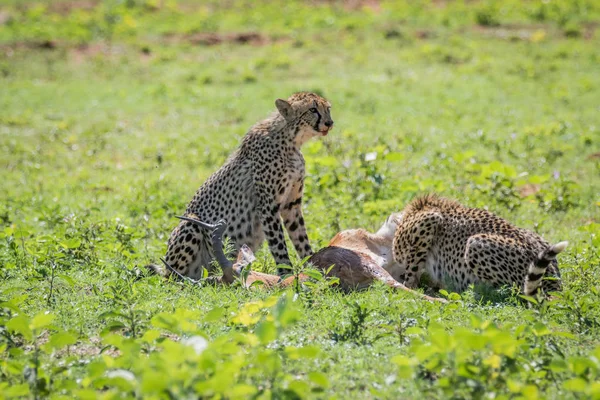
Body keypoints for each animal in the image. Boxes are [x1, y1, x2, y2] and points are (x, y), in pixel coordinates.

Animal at [156, 91, 332, 278]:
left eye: (328, 108)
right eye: (312, 109)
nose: (330, 123)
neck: (291, 140)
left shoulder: (291, 204)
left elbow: (301, 238)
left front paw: (313, 266)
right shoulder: (267, 206)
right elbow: (278, 243)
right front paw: (286, 274)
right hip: (190, 224)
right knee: (173, 278)